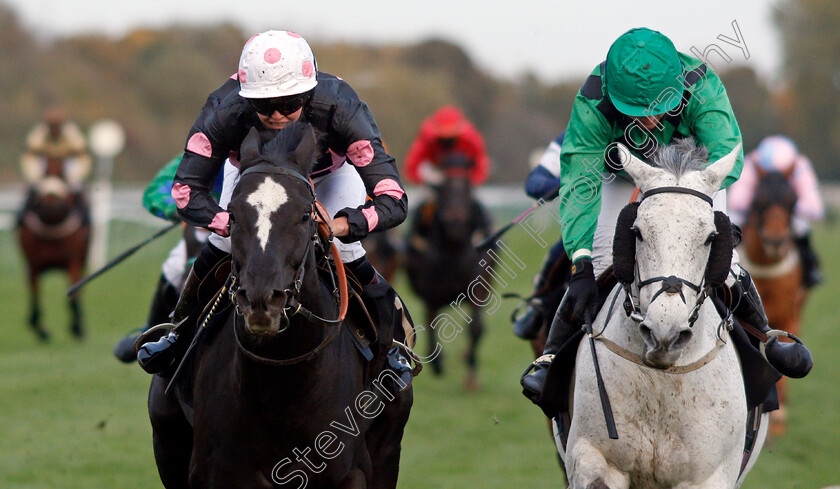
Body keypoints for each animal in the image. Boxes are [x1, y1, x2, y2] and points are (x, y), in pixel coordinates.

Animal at [16, 156, 89, 340]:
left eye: (63, 174)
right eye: (44, 173)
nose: (51, 206)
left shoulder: (74, 261)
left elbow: (74, 292)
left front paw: (77, 326)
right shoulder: (33, 264)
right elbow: (35, 294)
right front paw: (40, 328)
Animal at [152, 124, 416, 486]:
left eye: (306, 215)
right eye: (232, 215)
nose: (262, 298)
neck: (282, 378)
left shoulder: (351, 473)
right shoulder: (216, 472)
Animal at [406, 153, 492, 388]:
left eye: (467, 187)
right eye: (443, 188)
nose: (455, 221)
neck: (453, 250)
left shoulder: (477, 286)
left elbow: (476, 327)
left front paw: (471, 375)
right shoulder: (431, 290)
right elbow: (430, 323)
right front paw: (438, 364)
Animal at [556, 141, 768, 488]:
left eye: (711, 237)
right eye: (638, 232)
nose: (664, 333)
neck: (661, 379)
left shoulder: (707, 476)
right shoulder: (594, 459)